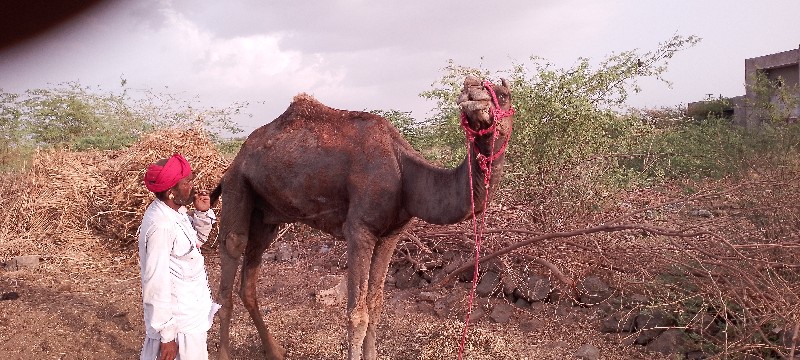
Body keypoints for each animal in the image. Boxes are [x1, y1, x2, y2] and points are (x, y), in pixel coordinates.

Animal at [209, 74, 516, 358]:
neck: (404, 172)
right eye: (467, 91)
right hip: (238, 185)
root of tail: (234, 161)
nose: (474, 95)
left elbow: (376, 305)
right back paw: (224, 353)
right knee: (231, 252)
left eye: (504, 95)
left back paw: (274, 350)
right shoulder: (360, 230)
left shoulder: (391, 234)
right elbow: (357, 314)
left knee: (249, 280)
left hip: (266, 215)